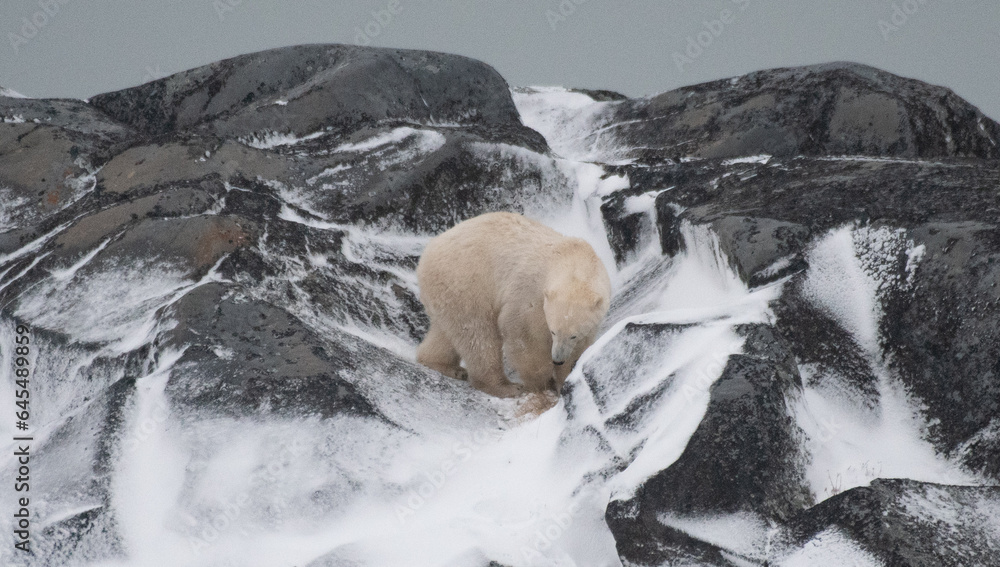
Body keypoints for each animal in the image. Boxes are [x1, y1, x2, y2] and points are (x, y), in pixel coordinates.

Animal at [415, 211, 611, 398]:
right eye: (553, 331)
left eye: (573, 335)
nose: (557, 359)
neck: (571, 257)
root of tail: (425, 256)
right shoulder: (531, 292)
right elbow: (524, 335)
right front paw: (543, 383)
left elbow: (580, 347)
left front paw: (564, 379)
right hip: (466, 283)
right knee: (478, 336)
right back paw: (505, 386)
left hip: (447, 293)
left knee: (448, 331)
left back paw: (443, 365)